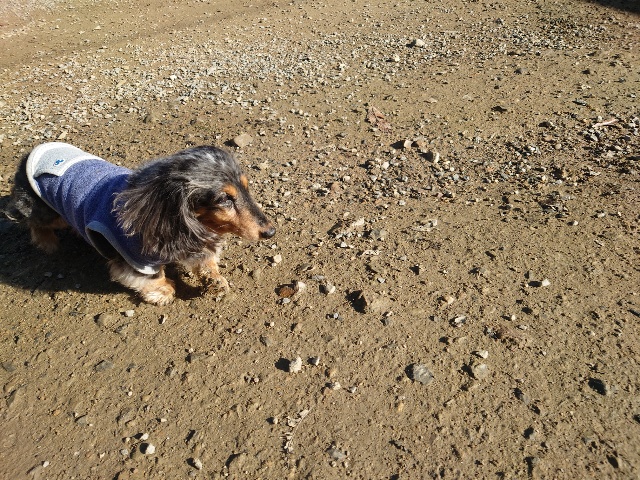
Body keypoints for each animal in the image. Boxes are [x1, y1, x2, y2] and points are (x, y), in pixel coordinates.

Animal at [4, 142, 275, 305]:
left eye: (246, 189)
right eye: (224, 199)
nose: (270, 231)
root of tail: (31, 152)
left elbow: (205, 262)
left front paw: (215, 280)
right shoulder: (134, 259)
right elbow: (150, 278)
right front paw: (163, 291)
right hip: (45, 211)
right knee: (31, 221)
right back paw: (47, 242)